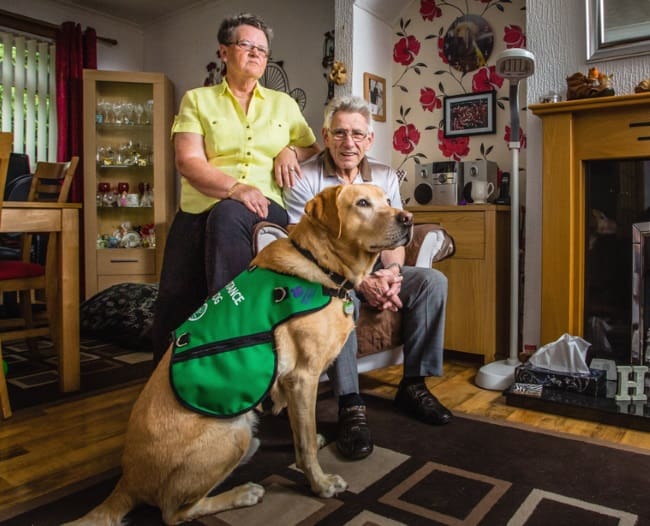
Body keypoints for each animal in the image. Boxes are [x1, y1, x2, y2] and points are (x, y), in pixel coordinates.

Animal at [64, 184, 410, 524]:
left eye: (387, 199)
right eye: (362, 203)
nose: (407, 218)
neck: (320, 263)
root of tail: (128, 481)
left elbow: (301, 431)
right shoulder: (303, 377)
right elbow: (307, 442)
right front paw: (320, 484)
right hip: (231, 433)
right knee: (174, 511)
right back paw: (242, 493)